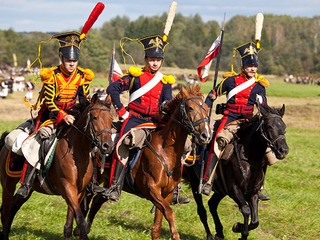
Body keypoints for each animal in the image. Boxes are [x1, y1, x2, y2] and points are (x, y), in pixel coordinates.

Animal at [0, 94, 114, 240]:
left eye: (111, 119)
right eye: (94, 117)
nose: (108, 146)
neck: (77, 153)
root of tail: (4, 146)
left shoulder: (79, 192)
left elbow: (69, 225)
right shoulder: (68, 188)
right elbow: (80, 219)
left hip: (29, 190)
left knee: (13, 208)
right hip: (8, 185)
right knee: (5, 211)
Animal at [74, 84, 212, 238]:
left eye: (207, 108)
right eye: (190, 108)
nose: (206, 135)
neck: (165, 152)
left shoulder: (167, 194)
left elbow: (157, 225)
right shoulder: (151, 190)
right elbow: (169, 213)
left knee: (97, 202)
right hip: (93, 179)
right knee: (86, 200)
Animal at [182, 101, 290, 240]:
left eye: (284, 127)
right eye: (269, 127)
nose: (283, 151)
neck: (250, 160)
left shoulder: (253, 193)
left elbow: (255, 221)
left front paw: (240, 229)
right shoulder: (234, 190)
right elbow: (246, 210)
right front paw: (239, 229)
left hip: (221, 190)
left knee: (212, 204)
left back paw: (220, 232)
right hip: (196, 185)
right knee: (202, 211)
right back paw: (210, 235)